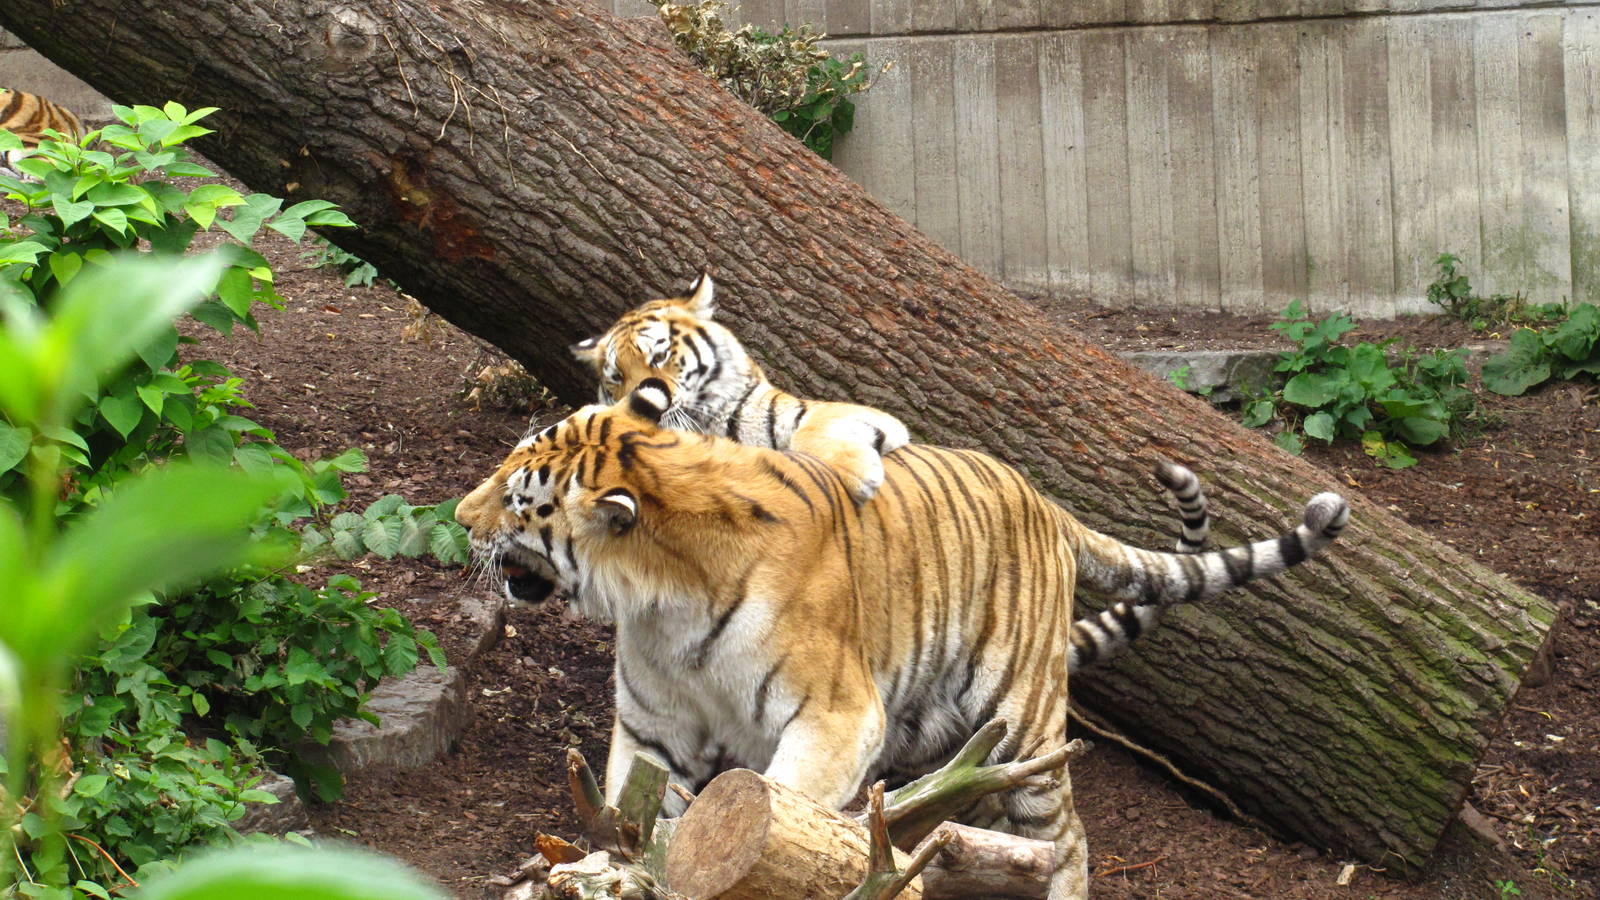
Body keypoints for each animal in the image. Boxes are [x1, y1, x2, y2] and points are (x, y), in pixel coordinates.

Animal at [454, 379, 1350, 899]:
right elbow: (629, 810)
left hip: (1022, 723)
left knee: (1064, 838)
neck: (658, 600)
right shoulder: (653, 730)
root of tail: (1046, 502)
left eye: (518, 501)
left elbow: (783, 804)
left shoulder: (836, 716)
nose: (461, 518)